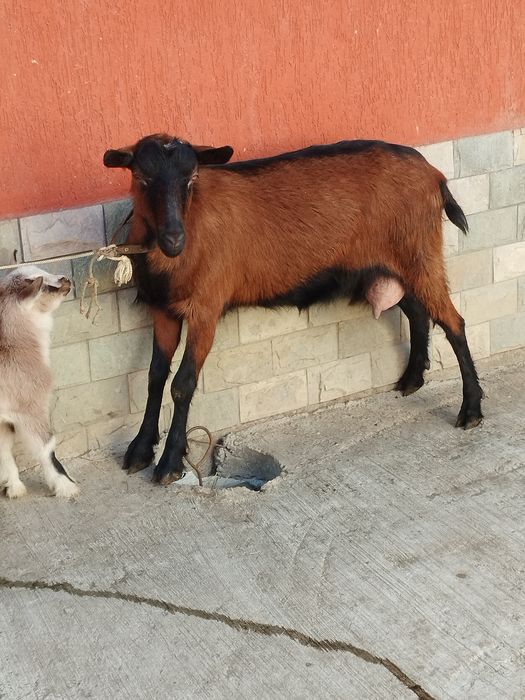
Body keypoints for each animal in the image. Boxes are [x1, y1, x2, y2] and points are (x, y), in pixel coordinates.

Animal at [0, 266, 78, 498]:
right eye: (44, 284)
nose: (66, 280)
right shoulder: (30, 408)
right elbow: (46, 448)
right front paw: (66, 486)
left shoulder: (4, 420)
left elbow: (4, 450)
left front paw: (14, 487)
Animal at [104, 134, 482, 485]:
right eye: (142, 177)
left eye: (191, 177)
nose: (174, 240)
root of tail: (434, 175)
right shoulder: (163, 311)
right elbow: (155, 376)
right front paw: (140, 450)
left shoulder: (206, 309)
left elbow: (182, 383)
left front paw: (169, 463)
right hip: (384, 266)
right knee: (419, 313)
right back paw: (412, 380)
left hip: (420, 253)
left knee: (454, 322)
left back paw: (471, 410)